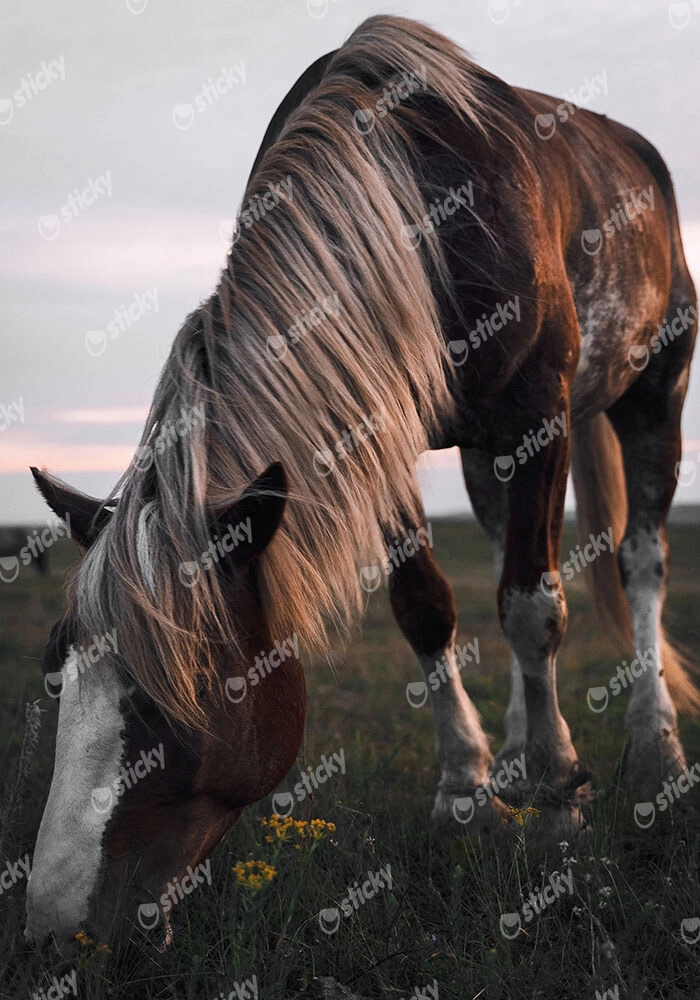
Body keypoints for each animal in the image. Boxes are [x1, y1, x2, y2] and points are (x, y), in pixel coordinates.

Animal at [25, 14, 698, 950]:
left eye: (165, 703)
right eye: (57, 671)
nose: (55, 930)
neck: (418, 215)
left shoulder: (540, 409)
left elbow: (535, 606)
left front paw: (560, 799)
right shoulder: (374, 430)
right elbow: (428, 607)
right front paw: (469, 795)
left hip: (654, 390)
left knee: (639, 562)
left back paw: (653, 748)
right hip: (488, 453)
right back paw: (518, 752)